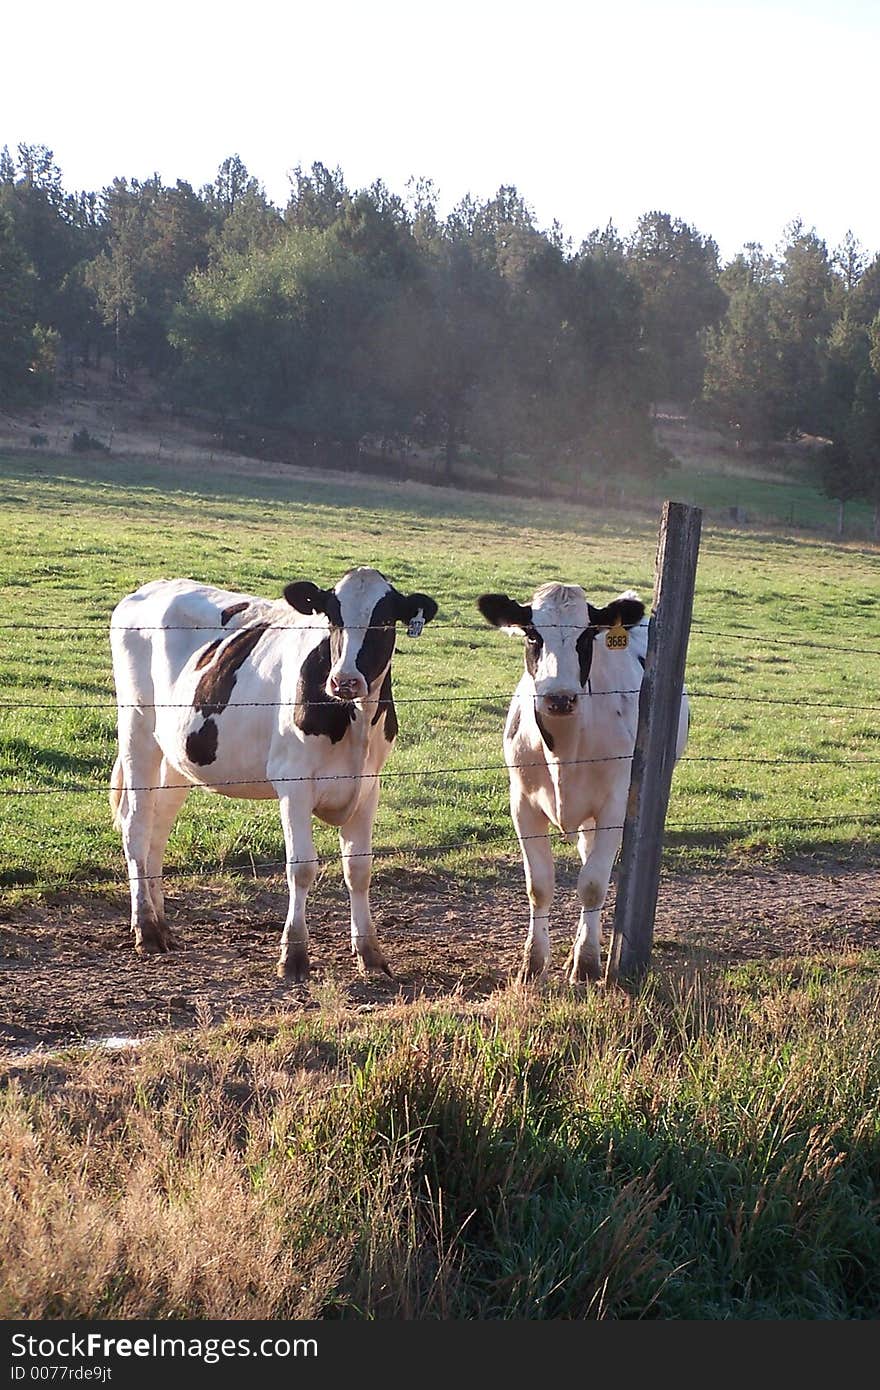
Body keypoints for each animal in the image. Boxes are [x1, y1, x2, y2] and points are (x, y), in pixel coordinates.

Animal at [109, 569, 436, 984]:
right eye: (332, 617)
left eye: (384, 620)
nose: (344, 681)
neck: (355, 720)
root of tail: (150, 588)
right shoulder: (293, 783)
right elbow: (302, 867)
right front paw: (293, 955)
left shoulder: (368, 786)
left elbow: (358, 869)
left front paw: (370, 953)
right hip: (136, 727)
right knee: (135, 825)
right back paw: (147, 930)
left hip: (175, 756)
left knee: (157, 828)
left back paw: (163, 924)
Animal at [478, 581, 689, 984]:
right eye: (532, 634)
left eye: (587, 635)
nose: (559, 697)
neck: (564, 748)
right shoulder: (522, 804)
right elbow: (539, 886)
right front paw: (533, 963)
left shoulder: (615, 805)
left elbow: (592, 885)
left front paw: (587, 964)